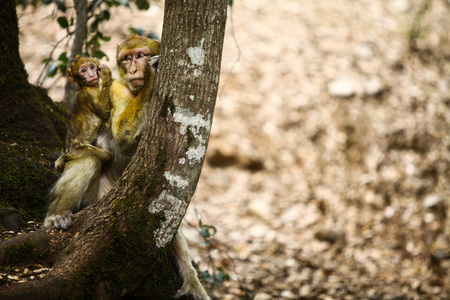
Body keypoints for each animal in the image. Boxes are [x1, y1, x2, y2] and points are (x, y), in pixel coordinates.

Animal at [44, 56, 113, 230]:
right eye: (83, 70)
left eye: (91, 67)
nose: (91, 74)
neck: (87, 85)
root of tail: (67, 151)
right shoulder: (88, 94)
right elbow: (105, 110)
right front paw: (107, 75)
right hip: (76, 151)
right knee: (97, 159)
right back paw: (54, 218)